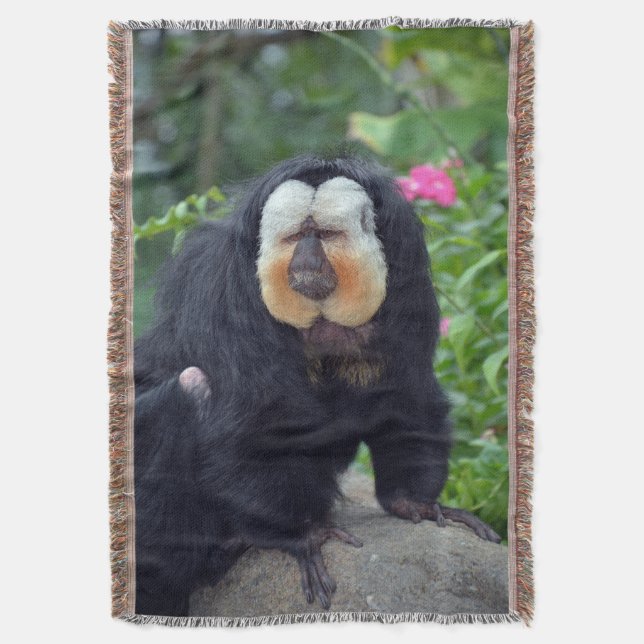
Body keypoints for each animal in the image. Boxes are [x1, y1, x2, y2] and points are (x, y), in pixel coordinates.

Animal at [134, 155, 501, 617]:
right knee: (190, 385)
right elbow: (256, 421)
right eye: (294, 237)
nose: (306, 260)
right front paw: (302, 534)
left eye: (324, 235)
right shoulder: (222, 290)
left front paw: (412, 501)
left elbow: (407, 396)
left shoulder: (408, 276)